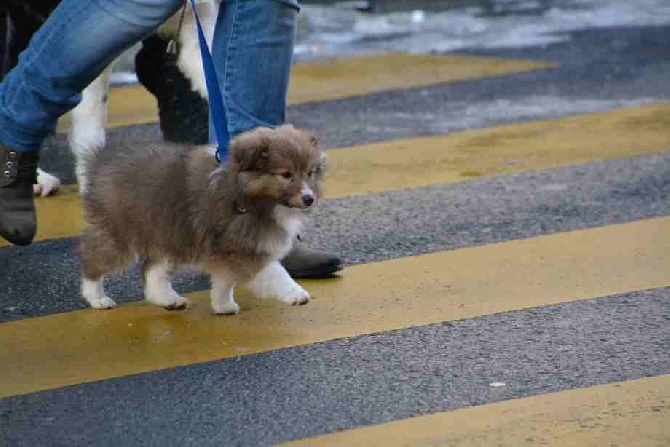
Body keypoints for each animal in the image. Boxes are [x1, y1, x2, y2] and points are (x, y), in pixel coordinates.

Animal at [79, 126, 326, 316]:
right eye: (286, 174)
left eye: (310, 172)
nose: (309, 199)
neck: (247, 196)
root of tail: (98, 161)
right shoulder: (247, 247)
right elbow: (276, 272)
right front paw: (296, 294)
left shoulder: (227, 250)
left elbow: (224, 281)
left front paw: (222, 305)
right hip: (122, 232)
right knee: (93, 259)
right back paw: (97, 298)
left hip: (172, 234)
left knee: (152, 270)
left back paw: (169, 299)